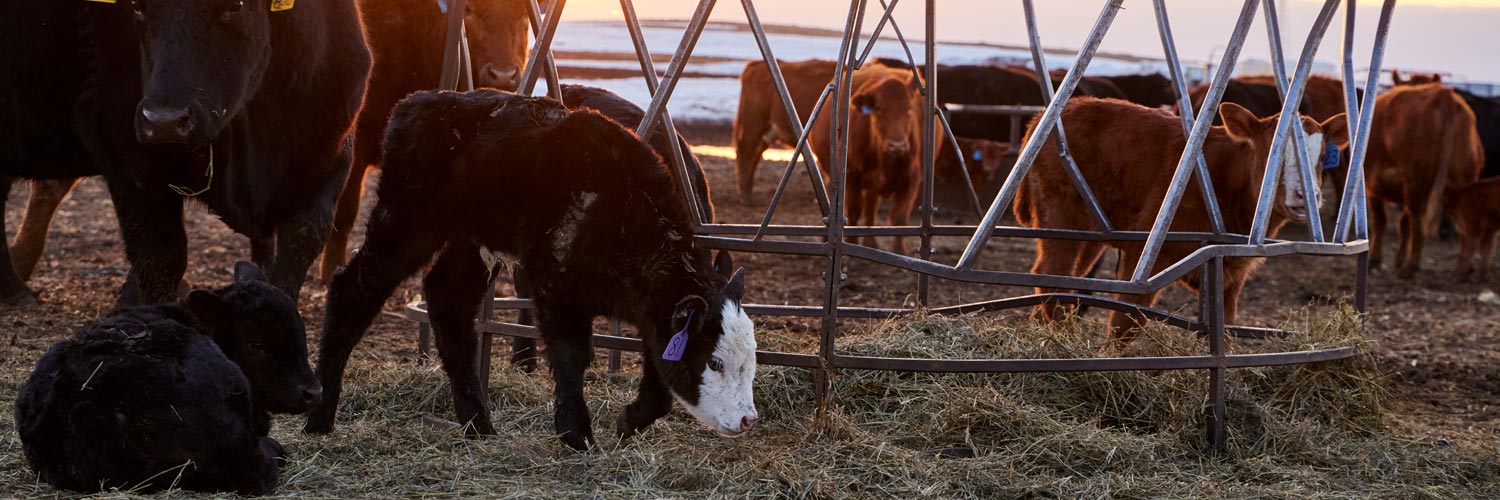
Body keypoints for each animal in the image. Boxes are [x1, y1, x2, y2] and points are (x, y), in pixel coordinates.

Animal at [0, 0, 370, 306]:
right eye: (137, 5)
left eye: (234, 5)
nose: (163, 121)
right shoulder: (133, 163)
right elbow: (160, 257)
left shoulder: (328, 159)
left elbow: (300, 246)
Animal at [303, 90, 758, 452]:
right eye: (715, 361)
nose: (747, 420)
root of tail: (417, 104)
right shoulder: (555, 284)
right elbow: (572, 356)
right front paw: (577, 435)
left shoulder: (653, 314)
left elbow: (660, 379)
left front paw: (627, 421)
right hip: (406, 221)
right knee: (354, 289)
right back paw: (319, 418)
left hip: (470, 242)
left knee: (448, 301)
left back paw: (479, 424)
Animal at [809, 64, 934, 254]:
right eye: (879, 108)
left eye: (908, 107)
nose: (897, 145)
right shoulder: (850, 177)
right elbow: (853, 211)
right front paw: (852, 241)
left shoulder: (911, 179)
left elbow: (899, 217)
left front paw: (899, 250)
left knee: (870, 208)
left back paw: (871, 242)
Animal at [1014, 98, 1348, 341]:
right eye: (1272, 154)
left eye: (1323, 158)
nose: (1307, 196)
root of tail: (1042, 116)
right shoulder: (1146, 256)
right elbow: (1125, 323)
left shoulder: (1230, 272)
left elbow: (1225, 329)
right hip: (1062, 216)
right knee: (1050, 275)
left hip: (1090, 237)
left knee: (1060, 281)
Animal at [1364, 83, 1485, 278]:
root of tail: (1443, 95)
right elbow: (1403, 224)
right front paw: (1398, 259)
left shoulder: (1373, 186)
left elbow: (1381, 221)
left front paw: (1375, 261)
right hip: (1462, 183)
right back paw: (1465, 269)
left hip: (1417, 182)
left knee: (1417, 221)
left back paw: (1410, 267)